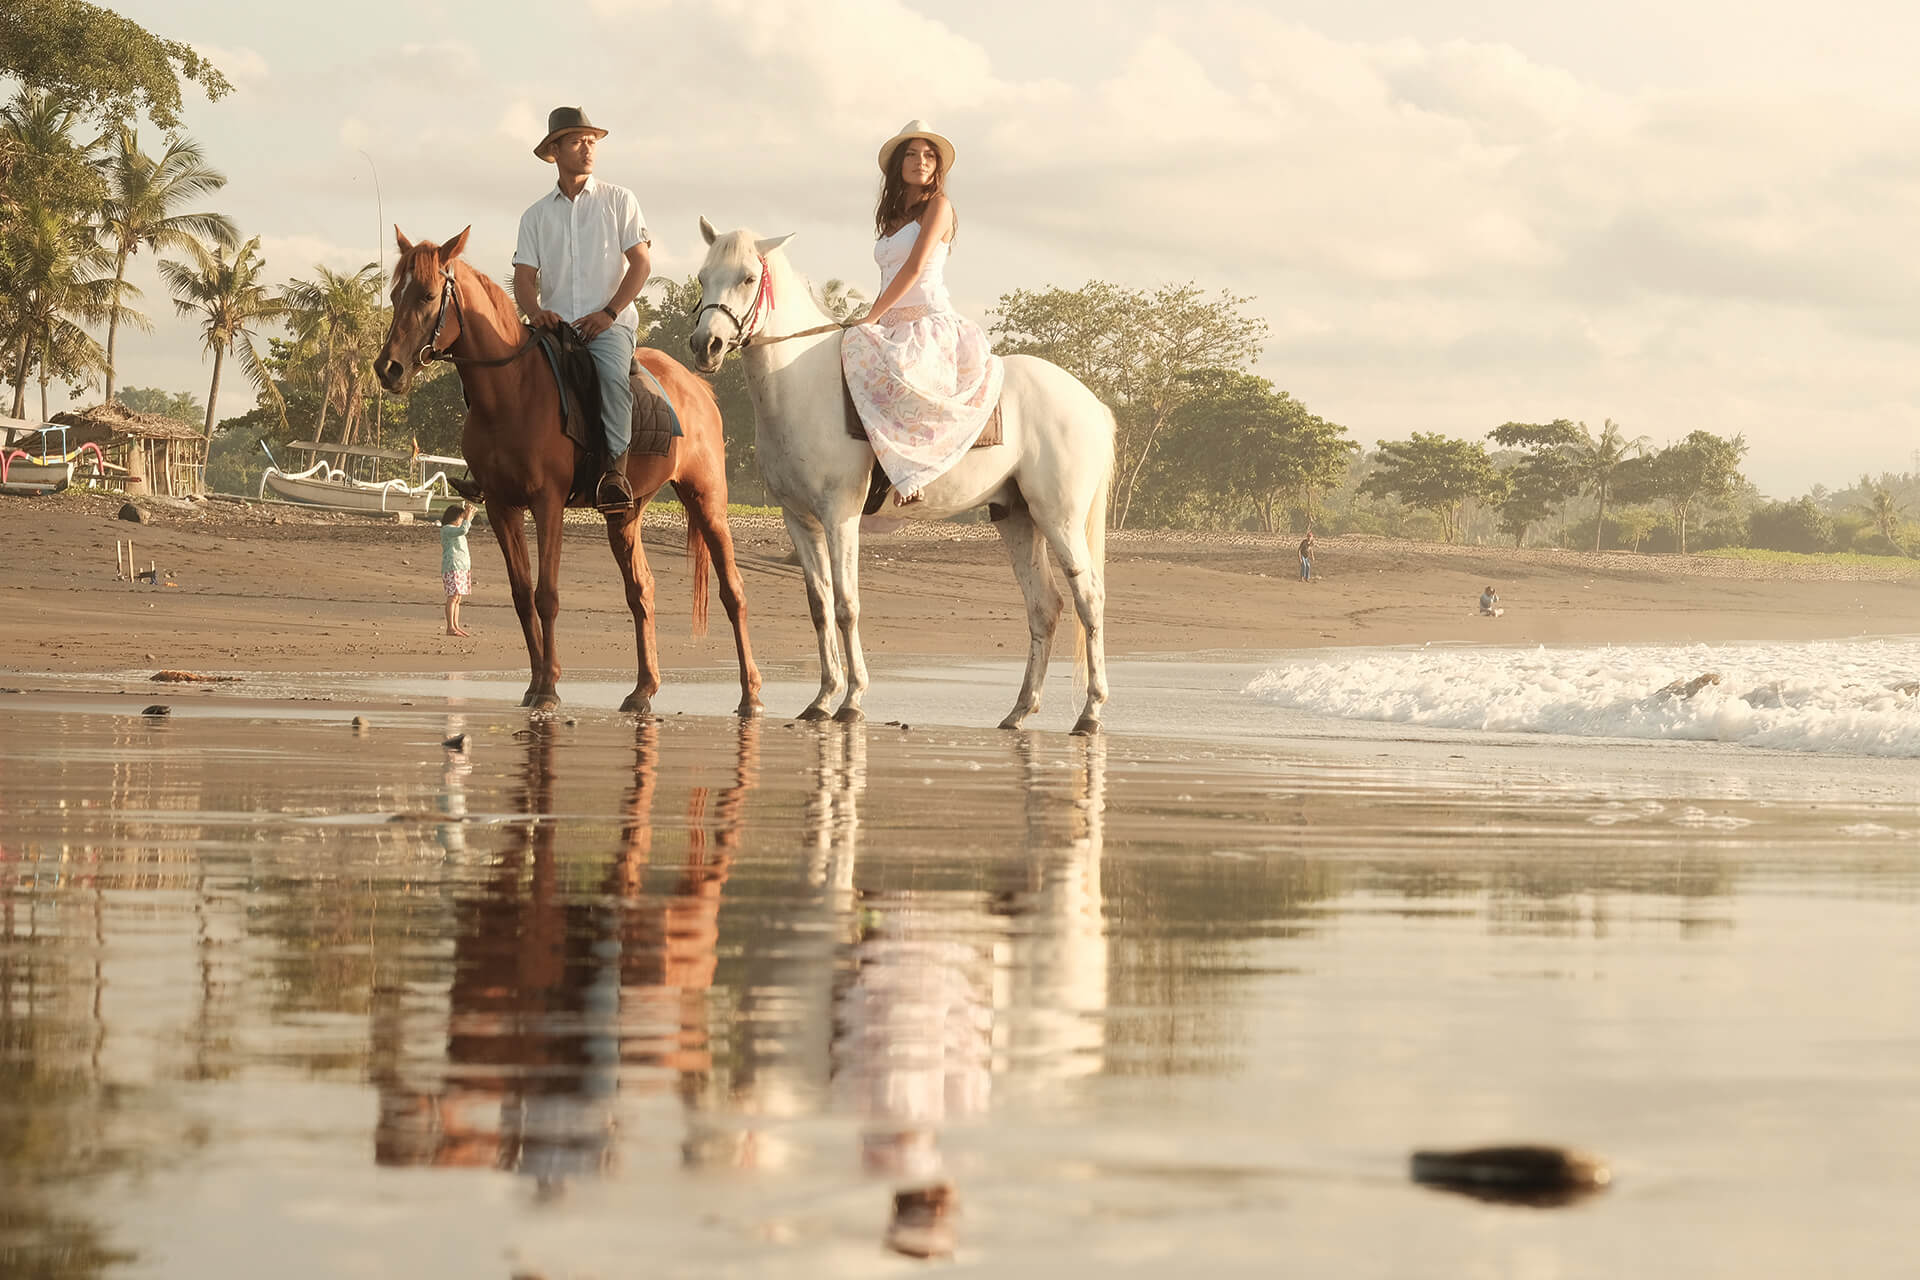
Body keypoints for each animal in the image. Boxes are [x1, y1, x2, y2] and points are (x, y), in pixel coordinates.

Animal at [370, 225, 760, 717]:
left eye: (426, 294)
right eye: (393, 294)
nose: (388, 368)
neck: (511, 392)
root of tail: (697, 388)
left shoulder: (548, 503)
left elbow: (547, 594)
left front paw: (550, 687)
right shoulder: (501, 506)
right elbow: (521, 595)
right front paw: (535, 682)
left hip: (706, 501)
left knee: (734, 592)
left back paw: (750, 695)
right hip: (625, 512)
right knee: (641, 590)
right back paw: (643, 689)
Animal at [691, 222, 1121, 729]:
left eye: (748, 278)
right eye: (702, 277)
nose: (705, 345)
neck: (803, 385)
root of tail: (1090, 402)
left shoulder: (840, 516)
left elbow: (846, 605)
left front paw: (852, 699)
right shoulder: (799, 520)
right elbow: (820, 607)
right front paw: (822, 698)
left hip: (1059, 518)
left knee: (1088, 598)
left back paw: (1090, 711)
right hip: (1018, 519)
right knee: (1044, 607)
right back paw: (1019, 711)